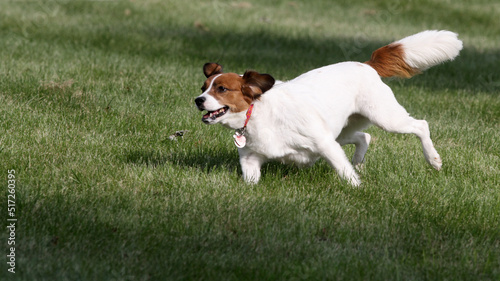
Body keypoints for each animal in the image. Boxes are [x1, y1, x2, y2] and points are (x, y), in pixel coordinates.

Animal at [193, 30, 462, 186]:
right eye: (203, 87)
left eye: (222, 89)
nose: (198, 100)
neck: (257, 115)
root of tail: (366, 65)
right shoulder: (250, 159)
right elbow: (251, 180)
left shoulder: (324, 143)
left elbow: (344, 172)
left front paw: (356, 187)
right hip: (342, 129)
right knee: (365, 136)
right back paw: (359, 160)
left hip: (385, 117)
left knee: (420, 126)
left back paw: (433, 160)